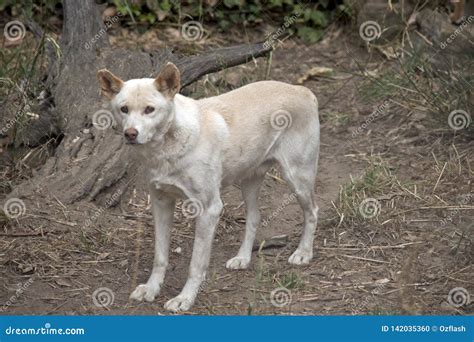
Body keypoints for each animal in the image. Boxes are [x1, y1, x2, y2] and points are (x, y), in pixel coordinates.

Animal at [96, 63, 320, 312]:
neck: (167, 149)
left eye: (149, 109)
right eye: (124, 109)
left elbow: (196, 265)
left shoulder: (209, 210)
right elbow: (160, 257)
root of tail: (301, 90)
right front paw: (151, 289)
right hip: (249, 181)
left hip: (297, 178)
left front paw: (184, 299)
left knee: (312, 212)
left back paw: (303, 253)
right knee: (254, 217)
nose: (130, 134)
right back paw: (243, 258)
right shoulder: (161, 203)